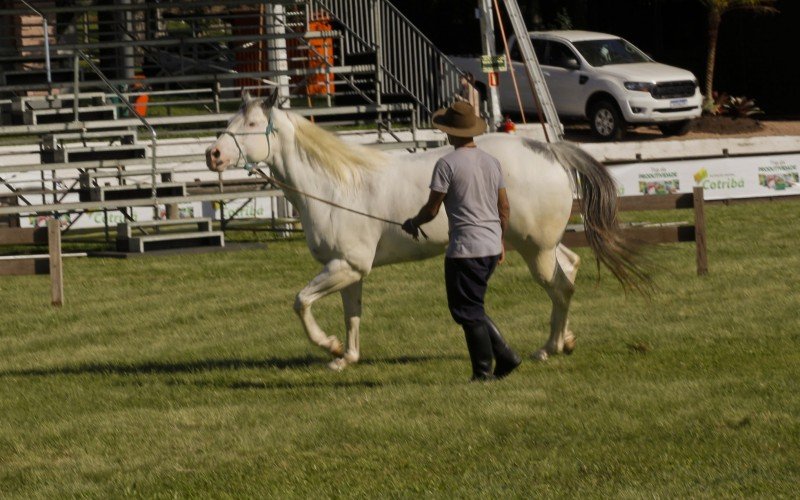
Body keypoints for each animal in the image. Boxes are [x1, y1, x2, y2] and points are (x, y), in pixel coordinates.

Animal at [206, 92, 644, 370]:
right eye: (230, 120)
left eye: (251, 123)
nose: (213, 155)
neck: (335, 186)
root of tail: (549, 151)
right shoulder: (348, 270)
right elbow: (352, 315)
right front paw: (346, 357)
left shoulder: (345, 266)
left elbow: (301, 302)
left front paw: (327, 345)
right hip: (543, 245)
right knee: (570, 267)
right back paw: (565, 340)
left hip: (535, 250)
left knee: (561, 287)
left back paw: (548, 348)